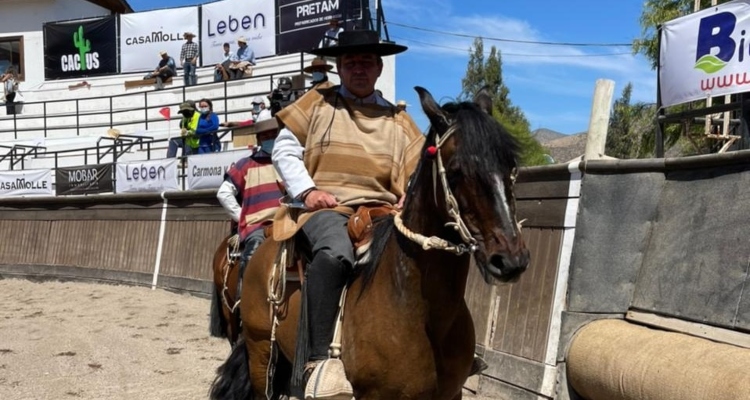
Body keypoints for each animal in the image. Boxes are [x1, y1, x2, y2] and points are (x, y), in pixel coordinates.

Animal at [209, 87, 532, 400]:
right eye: (455, 171)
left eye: (511, 167)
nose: (510, 260)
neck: (417, 308)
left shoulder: (451, 394)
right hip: (261, 351)